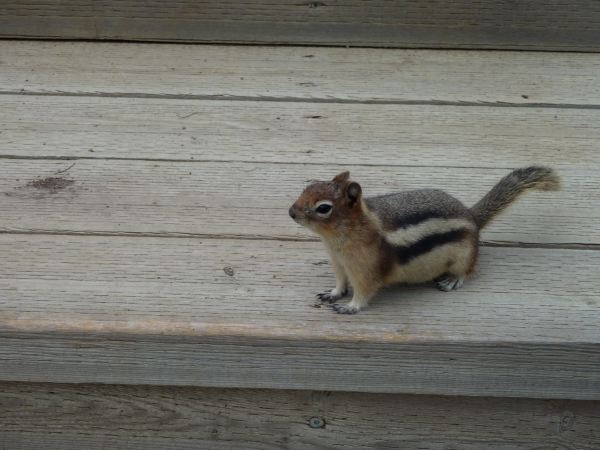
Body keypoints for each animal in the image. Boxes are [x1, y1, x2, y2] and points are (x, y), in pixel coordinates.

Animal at [288, 167, 560, 314]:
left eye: (323, 208)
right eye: (307, 188)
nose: (291, 212)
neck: (338, 241)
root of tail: (471, 216)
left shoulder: (367, 270)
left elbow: (364, 292)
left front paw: (350, 306)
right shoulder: (339, 264)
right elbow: (340, 283)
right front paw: (333, 294)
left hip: (464, 255)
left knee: (467, 270)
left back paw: (453, 280)